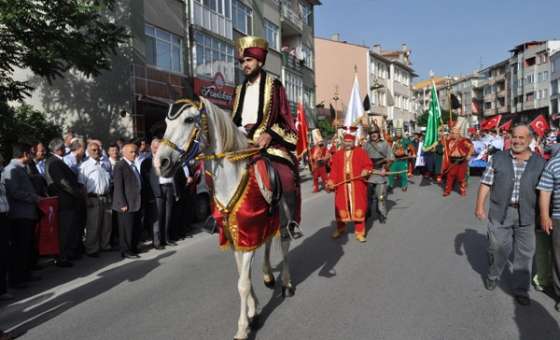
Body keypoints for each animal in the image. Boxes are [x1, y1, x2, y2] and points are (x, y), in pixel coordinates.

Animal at [155, 96, 296, 340]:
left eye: (189, 120)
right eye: (165, 121)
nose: (161, 162)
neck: (231, 179)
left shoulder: (248, 235)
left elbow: (242, 284)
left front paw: (243, 327)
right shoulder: (235, 236)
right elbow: (242, 276)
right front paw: (254, 311)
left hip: (286, 218)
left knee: (285, 246)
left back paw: (286, 284)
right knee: (269, 242)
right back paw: (268, 275)